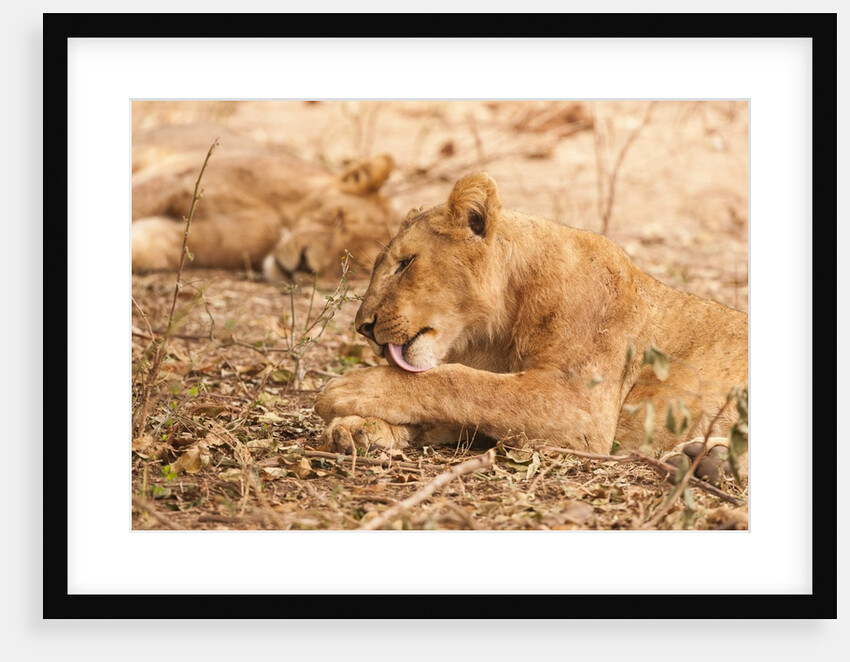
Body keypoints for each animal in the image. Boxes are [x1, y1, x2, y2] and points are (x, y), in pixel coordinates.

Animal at [131, 124, 396, 279]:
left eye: (356, 264)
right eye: (337, 217)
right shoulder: (171, 183)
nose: (304, 264)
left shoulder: (186, 240)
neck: (280, 218)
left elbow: (145, 247)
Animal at [315, 172, 749, 482]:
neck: (495, 329)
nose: (363, 327)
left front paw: (350, 389)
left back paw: (711, 460)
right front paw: (356, 428)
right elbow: (444, 402)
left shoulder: (580, 407)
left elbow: (463, 384)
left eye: (405, 264)